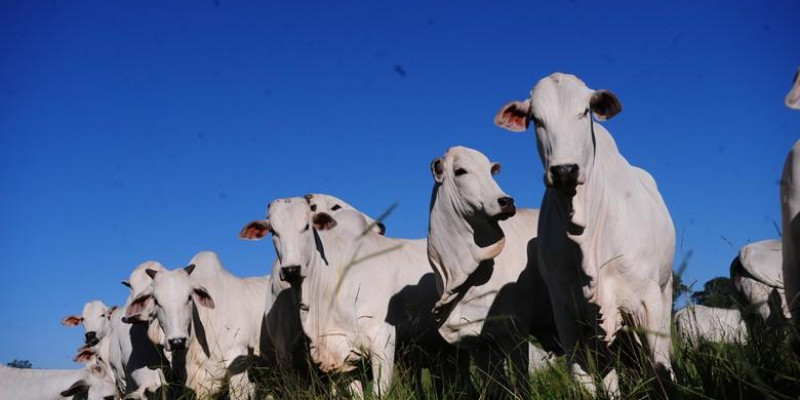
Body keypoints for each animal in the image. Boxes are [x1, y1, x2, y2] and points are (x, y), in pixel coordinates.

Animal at [428, 145, 560, 396]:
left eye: (491, 171)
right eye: (460, 171)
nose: (506, 201)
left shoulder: (515, 331)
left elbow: (521, 383)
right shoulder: (477, 342)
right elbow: (494, 388)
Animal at [494, 72, 676, 396]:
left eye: (584, 111)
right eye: (536, 119)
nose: (565, 170)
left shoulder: (647, 300)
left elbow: (660, 372)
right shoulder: (567, 313)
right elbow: (583, 380)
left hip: (664, 292)